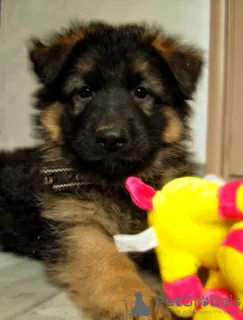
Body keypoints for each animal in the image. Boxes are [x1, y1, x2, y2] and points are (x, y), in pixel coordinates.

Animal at [0, 21, 203, 318]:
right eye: (84, 92)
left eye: (142, 92)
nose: (111, 139)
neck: (119, 183)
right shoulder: (77, 226)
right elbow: (107, 260)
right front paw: (133, 298)